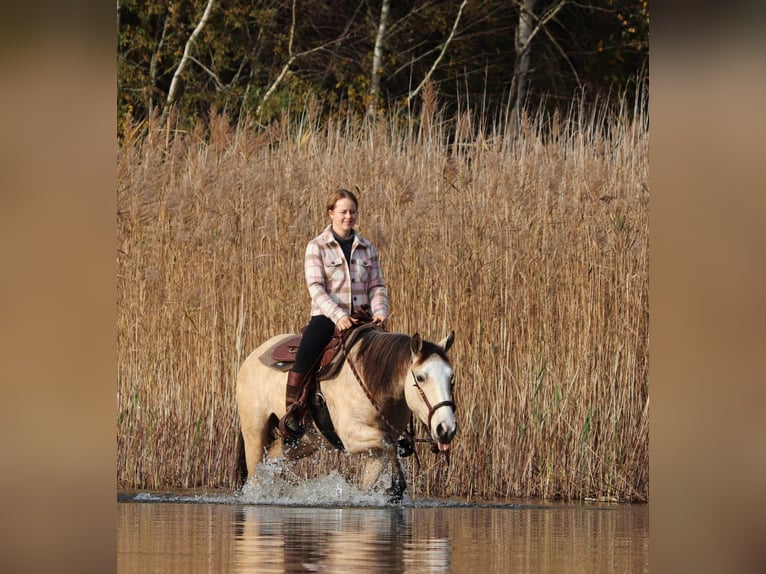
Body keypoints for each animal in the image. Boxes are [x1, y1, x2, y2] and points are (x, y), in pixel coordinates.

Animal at [236, 326, 457, 502]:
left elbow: (384, 455)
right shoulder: (351, 436)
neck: (374, 382)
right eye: (420, 377)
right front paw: (396, 487)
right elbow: (388, 442)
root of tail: (253, 356)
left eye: (451, 377)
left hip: (302, 442)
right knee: (254, 472)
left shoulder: (376, 453)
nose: (446, 428)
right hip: (255, 432)